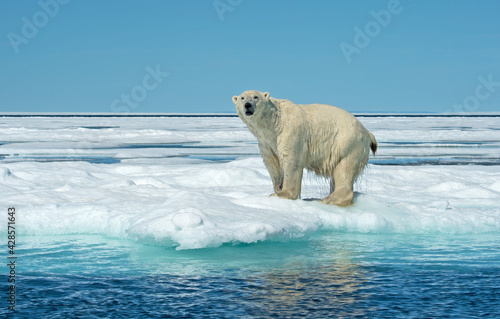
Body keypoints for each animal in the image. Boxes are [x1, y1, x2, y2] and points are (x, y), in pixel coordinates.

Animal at [232, 90, 376, 208]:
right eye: (242, 98)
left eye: (255, 97)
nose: (247, 105)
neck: (274, 122)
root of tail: (367, 132)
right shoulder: (265, 141)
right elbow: (272, 162)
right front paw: (277, 188)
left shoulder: (290, 131)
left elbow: (291, 160)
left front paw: (283, 194)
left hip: (347, 143)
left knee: (344, 169)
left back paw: (330, 199)